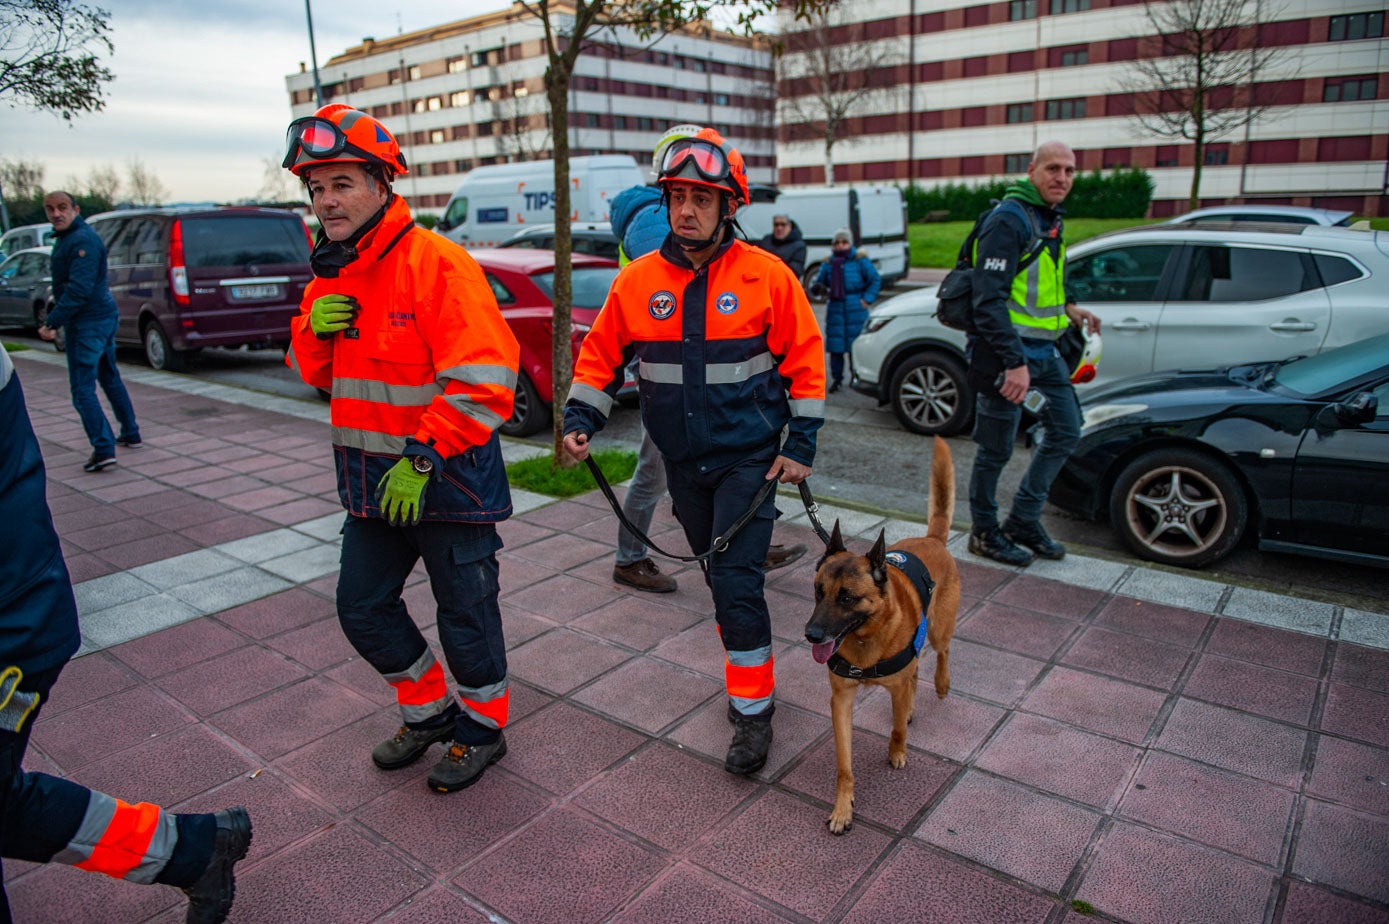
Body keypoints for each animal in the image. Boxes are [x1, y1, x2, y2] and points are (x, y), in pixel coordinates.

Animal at [805, 436, 955, 833]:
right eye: (818, 592)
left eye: (847, 597)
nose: (811, 635)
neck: (865, 638)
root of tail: (932, 539)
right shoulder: (841, 700)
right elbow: (844, 765)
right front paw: (843, 807)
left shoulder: (895, 684)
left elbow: (898, 728)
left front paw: (897, 752)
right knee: (916, 672)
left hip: (939, 629)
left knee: (941, 654)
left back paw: (941, 684)